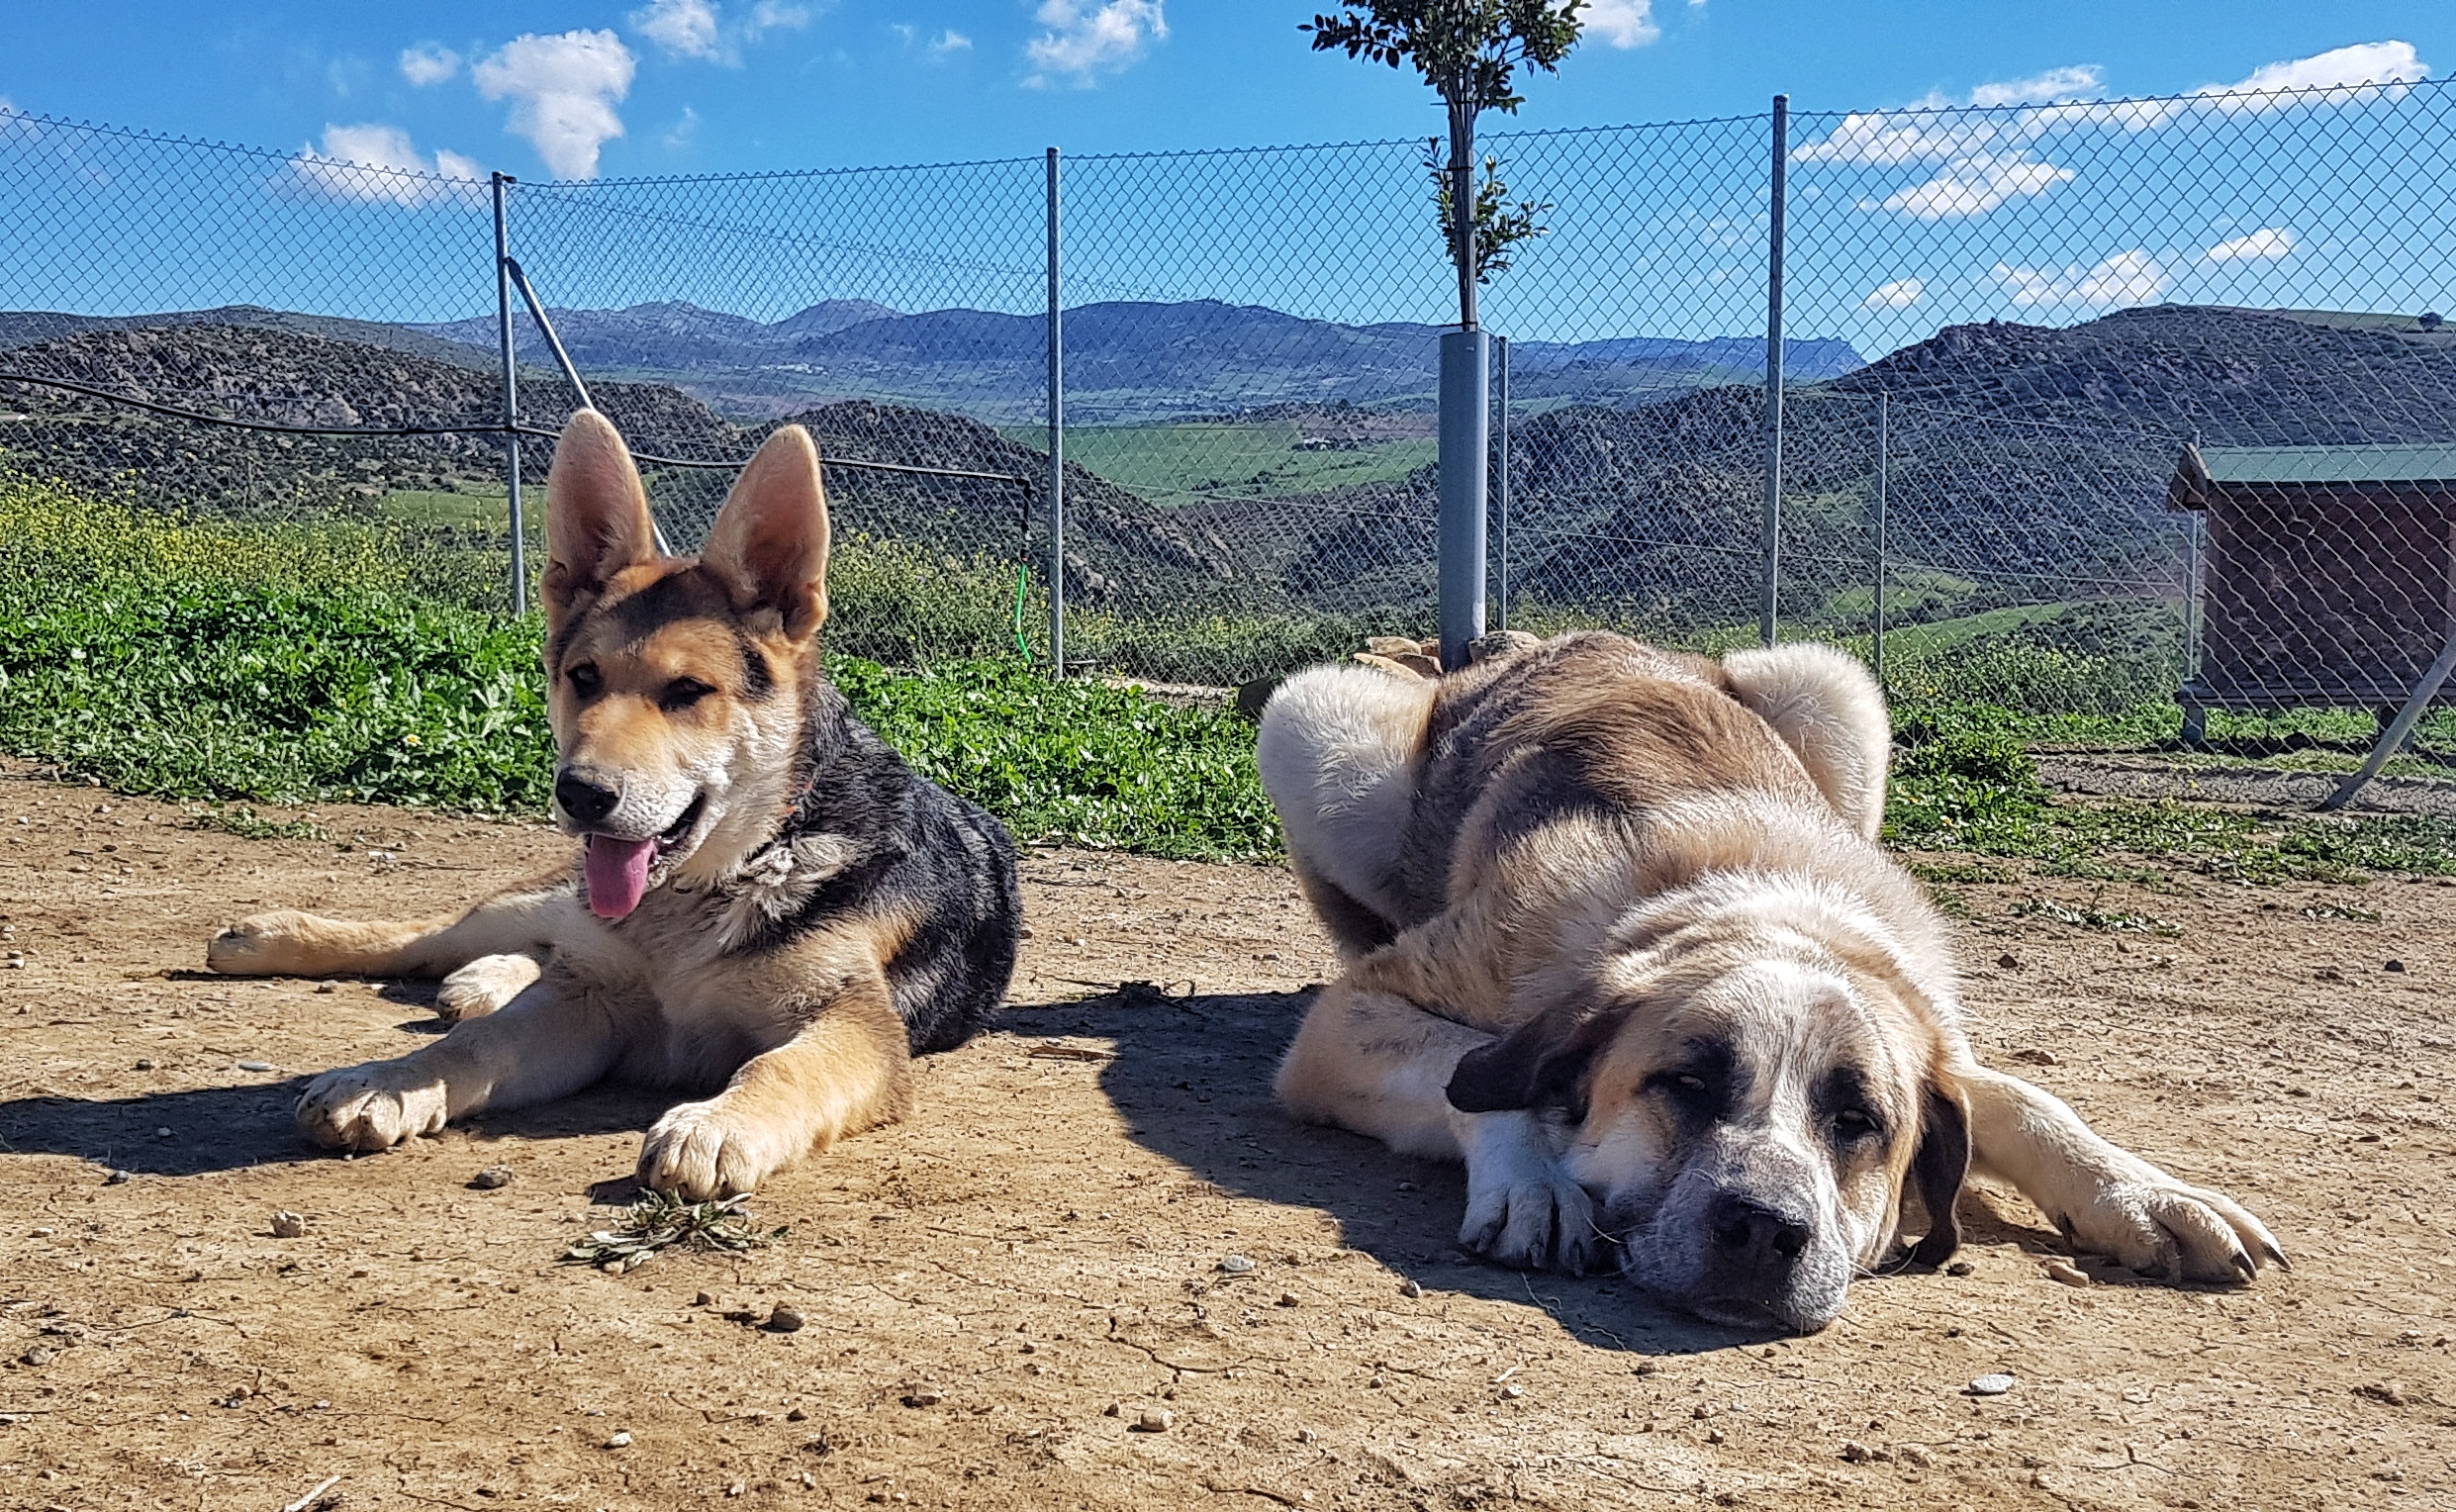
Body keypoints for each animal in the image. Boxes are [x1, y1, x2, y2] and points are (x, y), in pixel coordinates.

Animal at [206, 411, 1021, 1199]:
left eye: (688, 691)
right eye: (583, 677)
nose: (581, 794)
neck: (731, 872)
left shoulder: (853, 1027)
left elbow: (783, 1066)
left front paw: (718, 1125)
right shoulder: (584, 1008)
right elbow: (470, 1047)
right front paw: (388, 1081)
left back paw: (483, 980)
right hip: (542, 903)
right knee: (429, 935)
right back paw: (276, 940)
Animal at [1257, 631, 2281, 1331]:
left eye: (1859, 1121)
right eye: (1686, 1084)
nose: (1764, 1231)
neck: (1750, 903)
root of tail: (1545, 642)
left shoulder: (1932, 1042)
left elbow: (2028, 1098)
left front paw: (2148, 1194)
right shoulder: (1350, 1020)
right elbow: (1475, 1067)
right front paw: (1538, 1179)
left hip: (1835, 691)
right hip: (1314, 726)